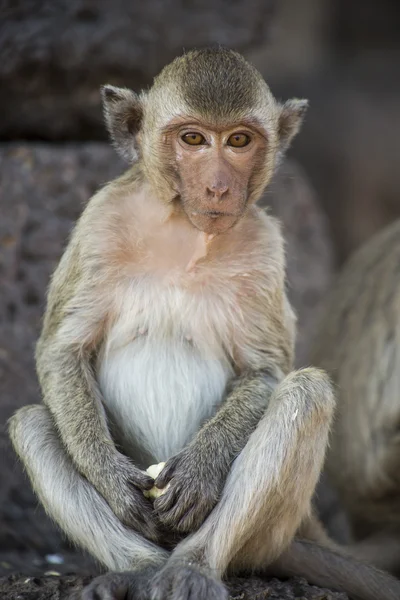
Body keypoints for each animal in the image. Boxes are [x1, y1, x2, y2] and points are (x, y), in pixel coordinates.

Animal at [7, 48, 400, 600]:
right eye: (193, 139)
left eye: (239, 141)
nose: (218, 186)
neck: (186, 233)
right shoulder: (99, 222)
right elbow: (62, 350)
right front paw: (110, 478)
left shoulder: (265, 246)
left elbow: (265, 370)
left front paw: (201, 470)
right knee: (32, 422)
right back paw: (136, 569)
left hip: (274, 531)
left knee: (306, 393)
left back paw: (194, 565)